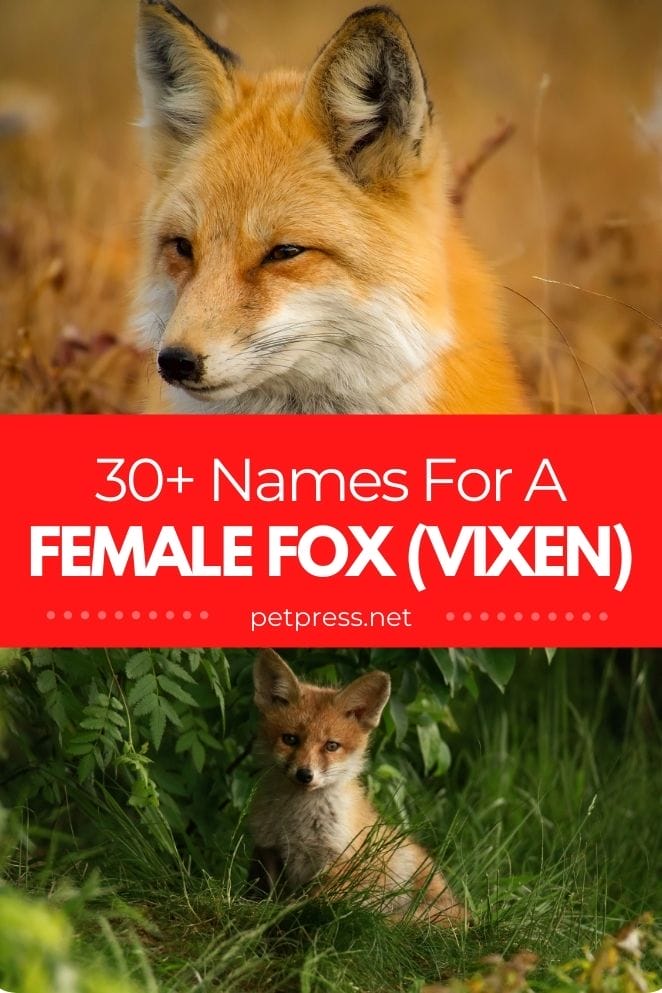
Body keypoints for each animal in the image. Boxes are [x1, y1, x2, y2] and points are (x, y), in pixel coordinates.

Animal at [247, 649, 465, 926]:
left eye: (331, 746)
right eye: (290, 739)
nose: (305, 775)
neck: (297, 822)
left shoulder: (339, 859)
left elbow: (314, 902)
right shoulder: (268, 848)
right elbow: (269, 894)